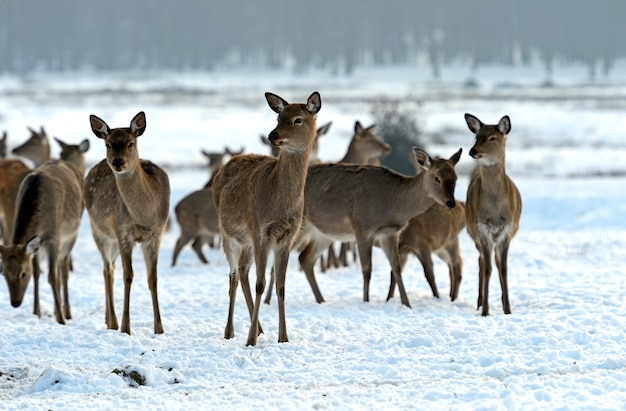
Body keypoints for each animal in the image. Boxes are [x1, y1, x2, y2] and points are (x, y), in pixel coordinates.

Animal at [0, 143, 88, 326]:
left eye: (22, 274)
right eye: (3, 272)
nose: (15, 302)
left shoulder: (54, 238)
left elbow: (52, 276)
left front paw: (61, 319)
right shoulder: (37, 244)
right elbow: (37, 273)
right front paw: (37, 313)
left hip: (71, 234)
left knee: (63, 268)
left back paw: (66, 311)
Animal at [84, 112, 171, 334]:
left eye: (131, 143)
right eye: (108, 144)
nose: (117, 162)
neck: (143, 215)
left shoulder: (157, 234)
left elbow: (153, 279)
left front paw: (159, 328)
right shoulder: (123, 232)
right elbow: (128, 276)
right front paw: (125, 328)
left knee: (111, 269)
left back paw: (108, 320)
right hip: (99, 231)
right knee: (107, 270)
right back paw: (113, 322)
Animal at [213, 91, 322, 346]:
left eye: (298, 119)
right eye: (278, 117)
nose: (273, 135)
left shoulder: (287, 237)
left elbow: (281, 286)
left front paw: (283, 337)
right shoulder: (260, 230)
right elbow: (261, 284)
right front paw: (250, 340)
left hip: (247, 241)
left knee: (243, 272)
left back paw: (260, 329)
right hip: (228, 233)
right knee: (233, 276)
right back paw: (230, 331)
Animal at [294, 146, 460, 308]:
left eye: (455, 178)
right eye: (437, 178)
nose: (451, 202)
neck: (393, 207)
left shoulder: (390, 233)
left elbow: (396, 268)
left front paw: (406, 304)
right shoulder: (362, 227)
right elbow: (367, 269)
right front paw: (366, 302)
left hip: (324, 233)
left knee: (305, 258)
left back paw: (321, 300)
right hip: (299, 225)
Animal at [464, 114, 520, 318]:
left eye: (492, 138)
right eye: (476, 136)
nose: (472, 151)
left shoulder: (507, 230)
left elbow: (503, 269)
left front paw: (508, 309)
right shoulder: (482, 229)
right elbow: (487, 269)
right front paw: (485, 311)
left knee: (494, 262)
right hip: (474, 235)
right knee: (481, 262)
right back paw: (479, 302)